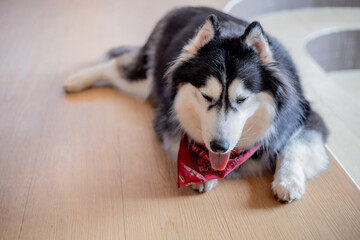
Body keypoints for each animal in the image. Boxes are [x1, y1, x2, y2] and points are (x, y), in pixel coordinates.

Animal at [64, 7, 330, 202]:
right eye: (206, 96)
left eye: (242, 99)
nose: (219, 147)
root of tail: (180, 8)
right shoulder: (166, 123)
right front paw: (204, 176)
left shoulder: (305, 115)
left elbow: (295, 147)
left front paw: (288, 182)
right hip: (144, 81)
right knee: (115, 66)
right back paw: (76, 80)